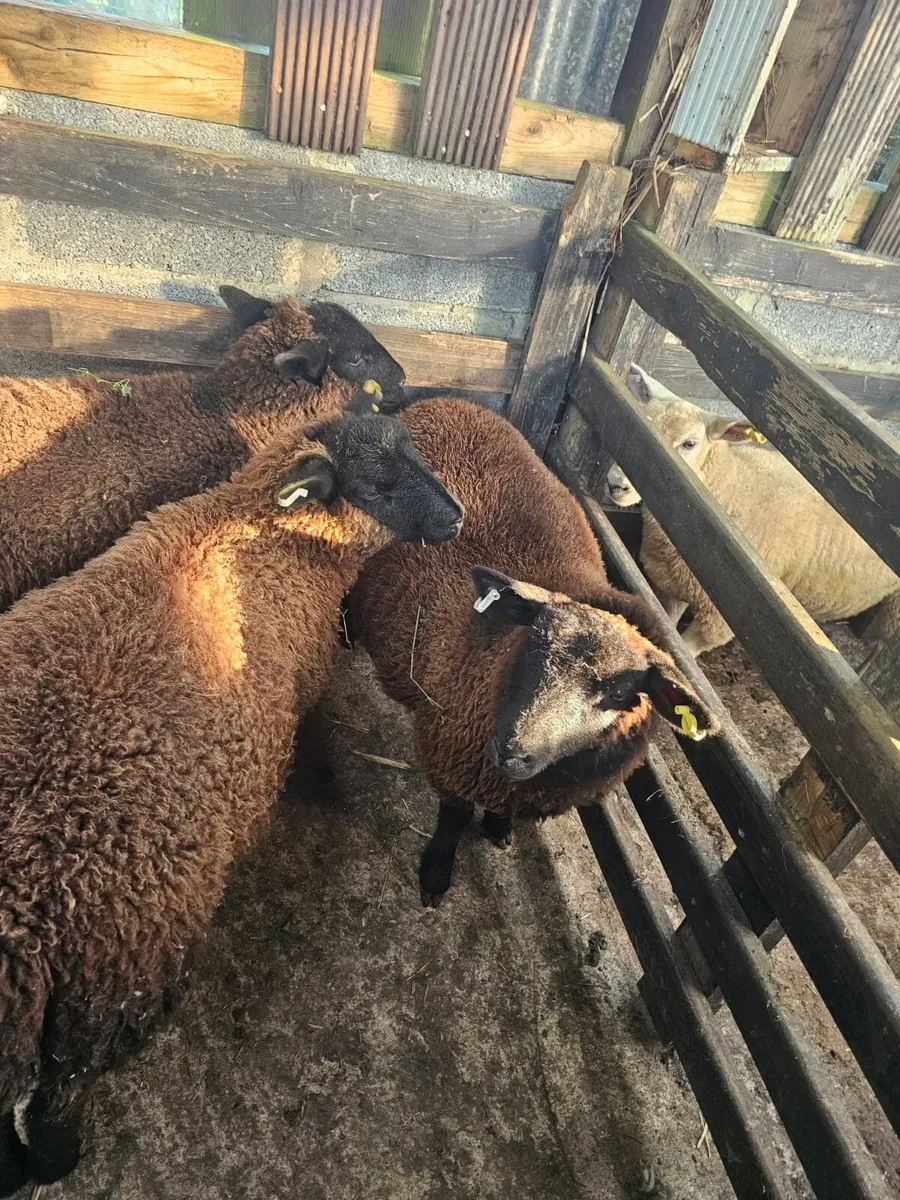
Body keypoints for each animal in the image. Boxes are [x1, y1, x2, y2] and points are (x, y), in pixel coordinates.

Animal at [0, 410, 463, 1194]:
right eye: (377, 480)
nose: (457, 517)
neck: (262, 528)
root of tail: (17, 922)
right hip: (110, 979)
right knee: (63, 1089)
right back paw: (57, 1161)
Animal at [349, 398, 716, 906]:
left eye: (620, 694)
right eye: (535, 641)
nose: (511, 750)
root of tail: (448, 401)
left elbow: (505, 815)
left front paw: (499, 828)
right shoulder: (450, 754)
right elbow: (451, 822)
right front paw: (436, 874)